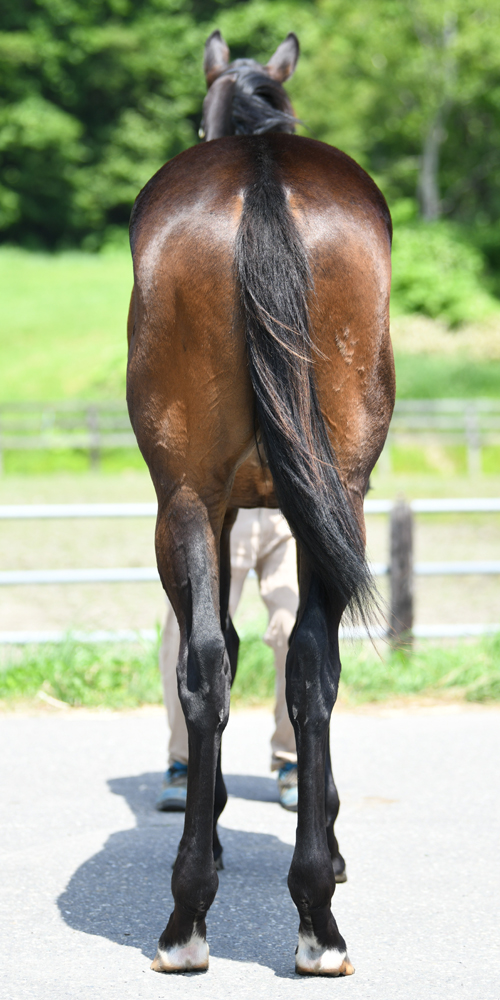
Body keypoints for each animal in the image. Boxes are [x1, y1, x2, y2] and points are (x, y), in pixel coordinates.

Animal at [126, 30, 394, 976]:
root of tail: (262, 174)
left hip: (185, 503)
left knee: (224, 660)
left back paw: (195, 917)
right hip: (300, 497)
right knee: (299, 660)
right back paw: (305, 916)